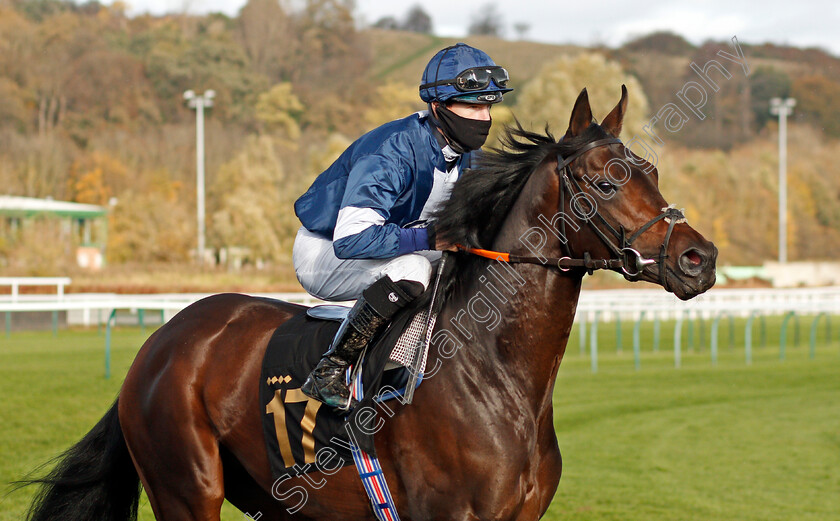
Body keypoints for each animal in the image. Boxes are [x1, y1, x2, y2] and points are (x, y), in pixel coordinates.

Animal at [23, 86, 716, 520]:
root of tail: (161, 342)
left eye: (651, 171)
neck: (493, 375)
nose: (698, 258)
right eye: (604, 181)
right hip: (185, 489)